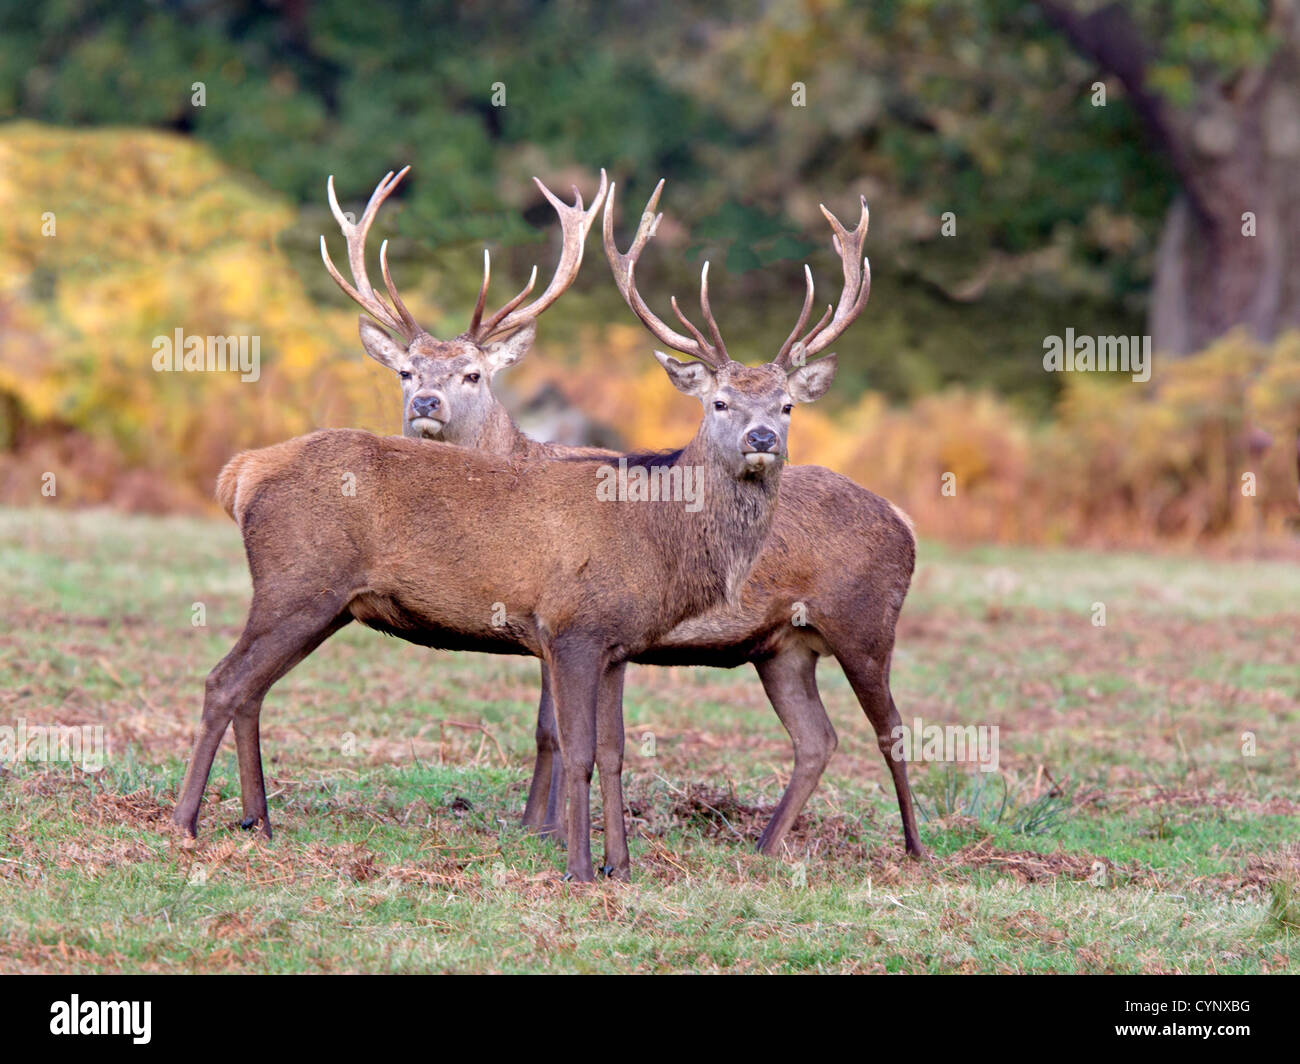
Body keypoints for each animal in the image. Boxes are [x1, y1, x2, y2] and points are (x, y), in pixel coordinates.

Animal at [170, 172, 848, 882]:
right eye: (719, 402)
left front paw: (621, 865)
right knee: (222, 681)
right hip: (295, 583)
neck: (656, 534)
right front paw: (579, 868)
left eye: (787, 405)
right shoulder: (573, 627)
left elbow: (615, 753)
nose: (762, 438)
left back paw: (259, 821)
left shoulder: (618, 644)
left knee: (250, 689)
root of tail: (241, 472)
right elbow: (578, 750)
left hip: (325, 603)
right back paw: (186, 824)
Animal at [315, 167, 925, 865]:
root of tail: (904, 520)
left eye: (472, 374)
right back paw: (765, 846)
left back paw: (914, 847)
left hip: (866, 621)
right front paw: (543, 827)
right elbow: (553, 726)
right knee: (817, 738)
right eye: (405, 370)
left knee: (893, 728)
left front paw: (545, 830)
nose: (425, 402)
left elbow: (553, 728)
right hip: (784, 647)